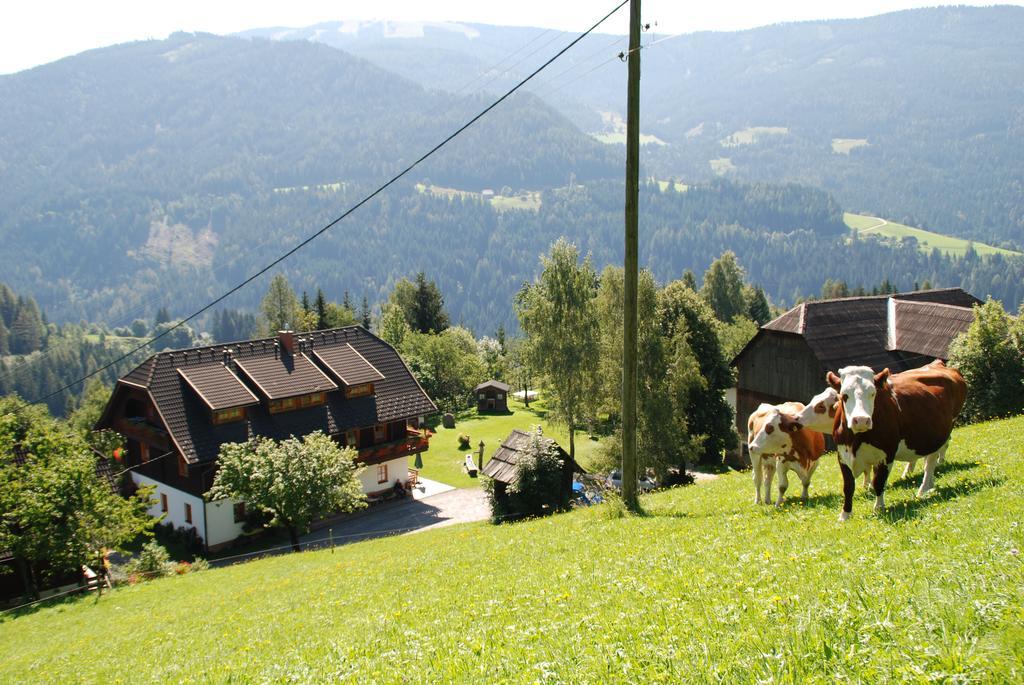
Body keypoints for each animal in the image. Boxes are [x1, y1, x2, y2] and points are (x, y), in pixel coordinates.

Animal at [823, 358, 966, 518]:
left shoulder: (887, 453)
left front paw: (879, 508)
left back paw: (923, 489)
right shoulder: (842, 455)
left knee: (930, 463)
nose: (861, 420)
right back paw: (930, 485)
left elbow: (878, 482)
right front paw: (845, 515)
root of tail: (937, 364)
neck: (856, 440)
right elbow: (848, 487)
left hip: (942, 434)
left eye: (873, 393)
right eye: (844, 395)